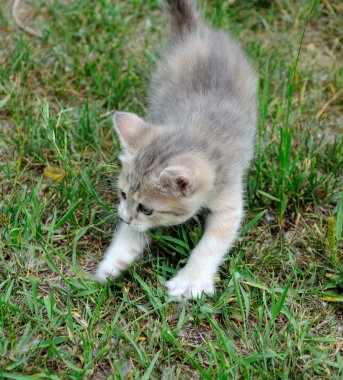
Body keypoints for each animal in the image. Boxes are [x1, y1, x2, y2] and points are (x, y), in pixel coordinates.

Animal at [95, 0, 256, 300]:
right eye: (123, 194)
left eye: (148, 209)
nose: (124, 217)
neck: (196, 132)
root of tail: (195, 32)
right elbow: (131, 235)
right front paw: (116, 260)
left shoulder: (229, 201)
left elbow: (211, 244)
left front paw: (190, 280)